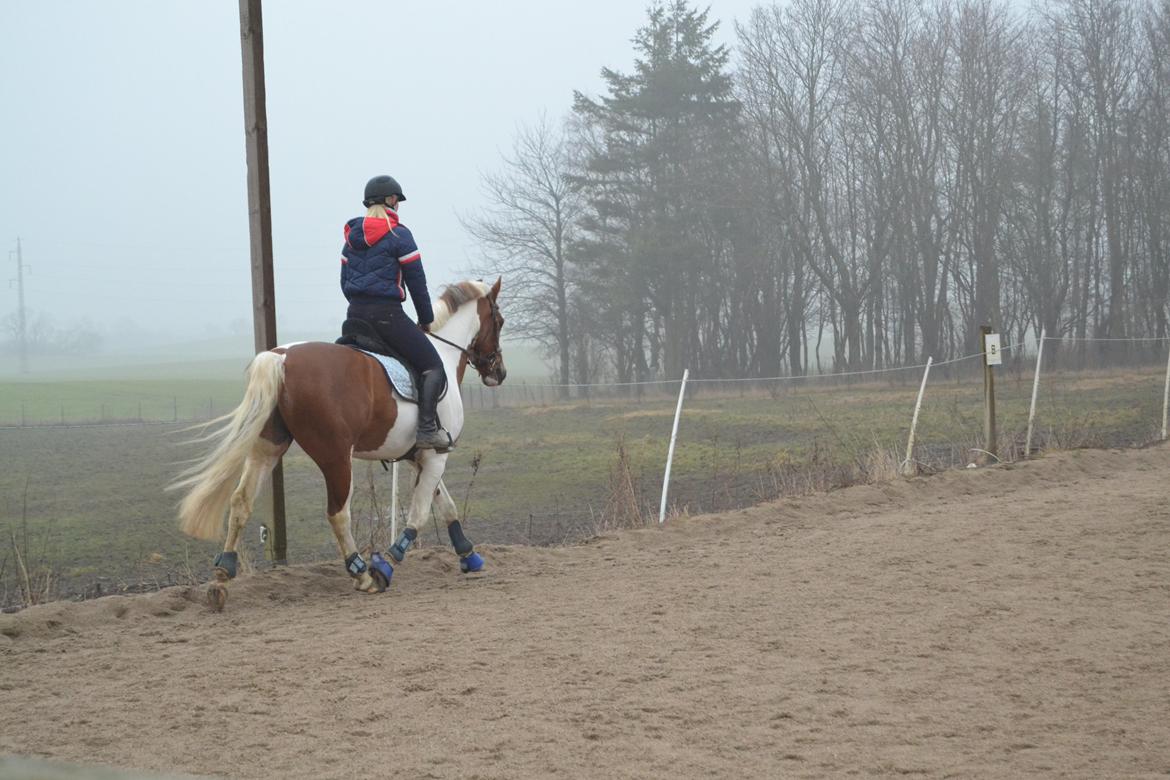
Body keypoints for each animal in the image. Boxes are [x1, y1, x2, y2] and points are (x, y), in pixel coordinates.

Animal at [171, 275, 507, 608]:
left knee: (241, 501)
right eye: (500, 321)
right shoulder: (436, 456)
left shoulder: (419, 457)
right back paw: (361, 573)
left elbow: (445, 504)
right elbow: (419, 515)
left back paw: (222, 576)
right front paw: (385, 565)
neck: (443, 354)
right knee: (337, 513)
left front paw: (469, 554)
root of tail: (281, 357)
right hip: (335, 457)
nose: (500, 373)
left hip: (267, 449)